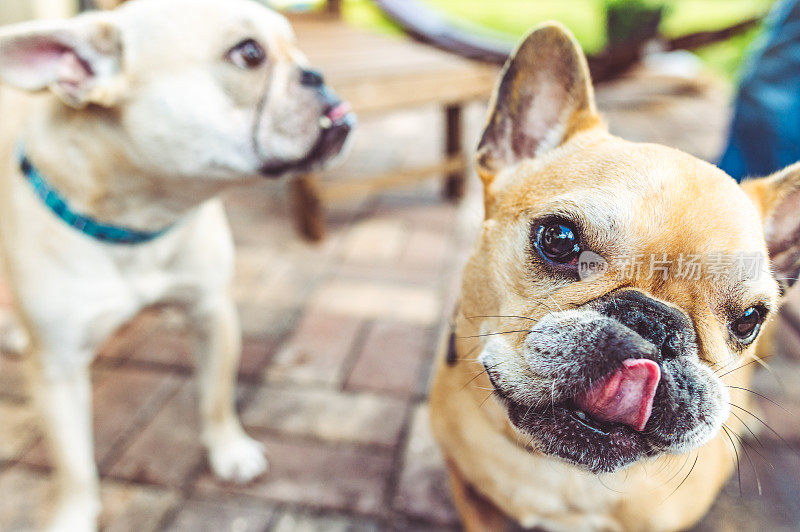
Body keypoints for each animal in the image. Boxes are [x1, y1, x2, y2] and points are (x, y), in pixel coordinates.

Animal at [0, 2, 354, 528]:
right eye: (249, 54)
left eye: (296, 45)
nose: (317, 74)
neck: (139, 217)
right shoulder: (57, 370)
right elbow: (73, 463)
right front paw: (73, 514)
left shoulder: (211, 311)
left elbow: (216, 396)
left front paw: (229, 450)